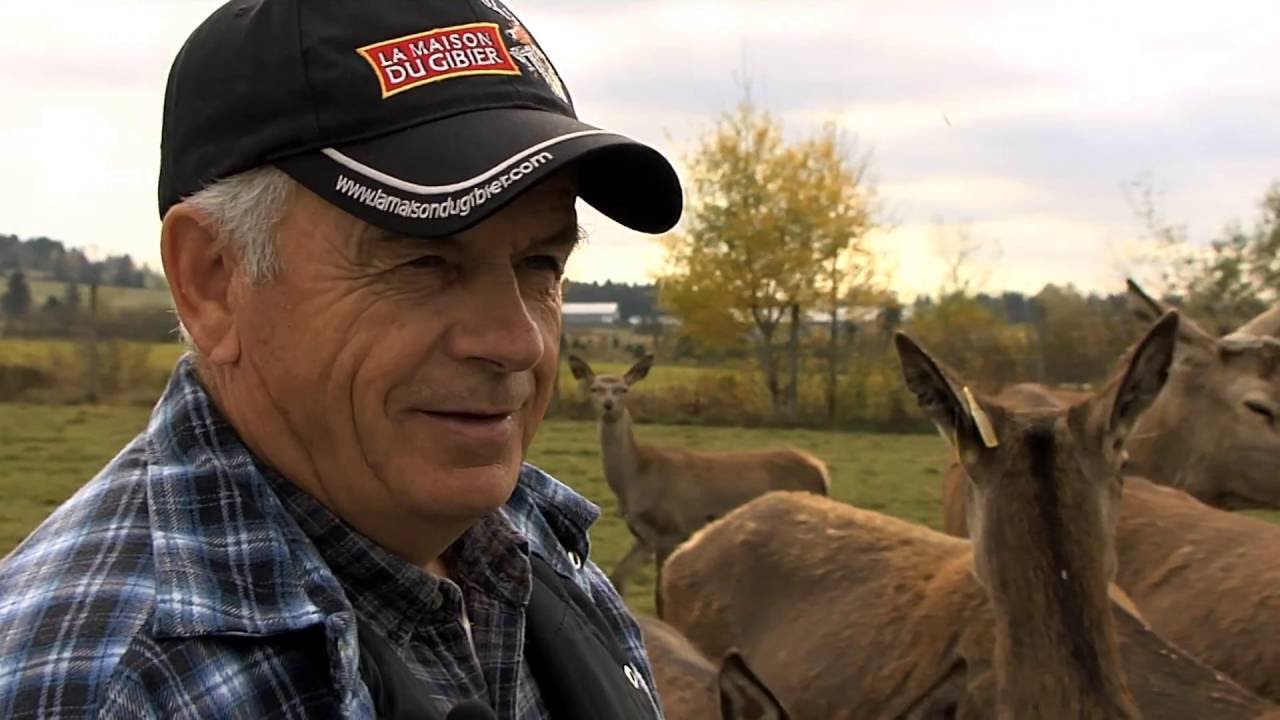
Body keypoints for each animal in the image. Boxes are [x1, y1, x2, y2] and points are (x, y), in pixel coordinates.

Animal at [566, 353, 830, 603]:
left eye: (623, 389)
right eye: (594, 388)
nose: (608, 405)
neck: (636, 480)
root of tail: (821, 471)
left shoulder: (669, 530)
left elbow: (660, 596)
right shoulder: (644, 537)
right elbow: (617, 580)